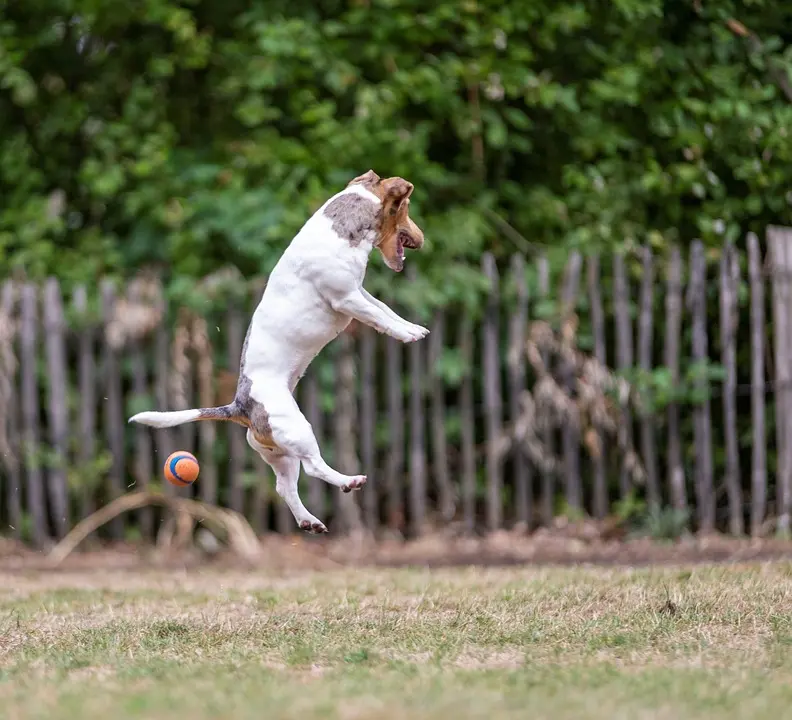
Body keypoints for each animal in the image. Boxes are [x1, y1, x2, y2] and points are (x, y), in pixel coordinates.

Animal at [130, 167, 430, 528]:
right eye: (407, 206)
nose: (423, 238)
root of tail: (239, 406)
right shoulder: (348, 298)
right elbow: (382, 318)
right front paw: (406, 335)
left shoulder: (360, 293)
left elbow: (386, 310)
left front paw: (413, 327)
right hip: (298, 429)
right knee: (315, 467)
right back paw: (349, 481)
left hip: (281, 454)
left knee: (284, 488)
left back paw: (309, 521)